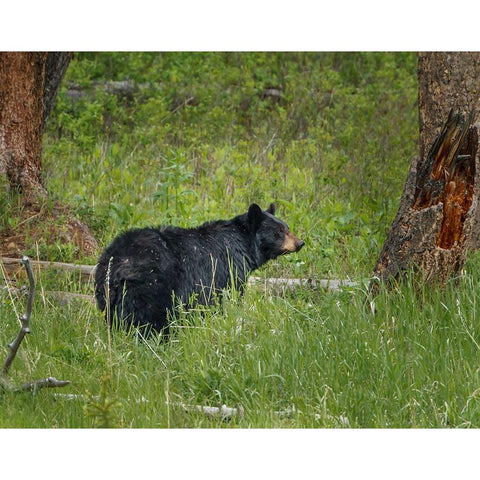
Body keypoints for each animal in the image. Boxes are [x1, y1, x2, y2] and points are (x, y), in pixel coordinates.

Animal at [94, 204, 304, 336]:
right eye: (279, 232)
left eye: (287, 227)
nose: (300, 243)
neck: (244, 245)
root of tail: (119, 262)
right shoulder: (226, 271)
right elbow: (227, 299)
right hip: (151, 286)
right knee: (147, 318)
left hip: (105, 289)